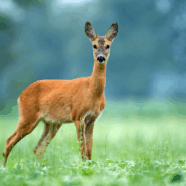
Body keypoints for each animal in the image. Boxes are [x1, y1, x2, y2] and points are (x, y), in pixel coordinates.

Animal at [1, 21, 117, 166]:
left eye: (108, 45)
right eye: (94, 45)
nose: (100, 58)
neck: (92, 92)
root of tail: (21, 95)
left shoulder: (92, 119)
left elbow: (89, 150)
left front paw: (90, 166)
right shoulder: (78, 116)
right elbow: (82, 148)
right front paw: (83, 167)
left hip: (51, 123)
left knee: (38, 148)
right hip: (27, 116)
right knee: (9, 141)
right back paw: (5, 167)